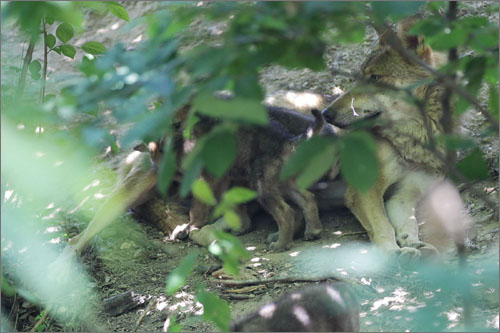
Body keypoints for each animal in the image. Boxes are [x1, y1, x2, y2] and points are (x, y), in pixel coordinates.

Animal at [322, 18, 456, 266]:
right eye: (357, 78)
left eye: (374, 77)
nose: (326, 114)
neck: (411, 143)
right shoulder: (364, 189)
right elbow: (382, 224)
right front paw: (392, 252)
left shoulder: (404, 194)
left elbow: (408, 223)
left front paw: (415, 245)